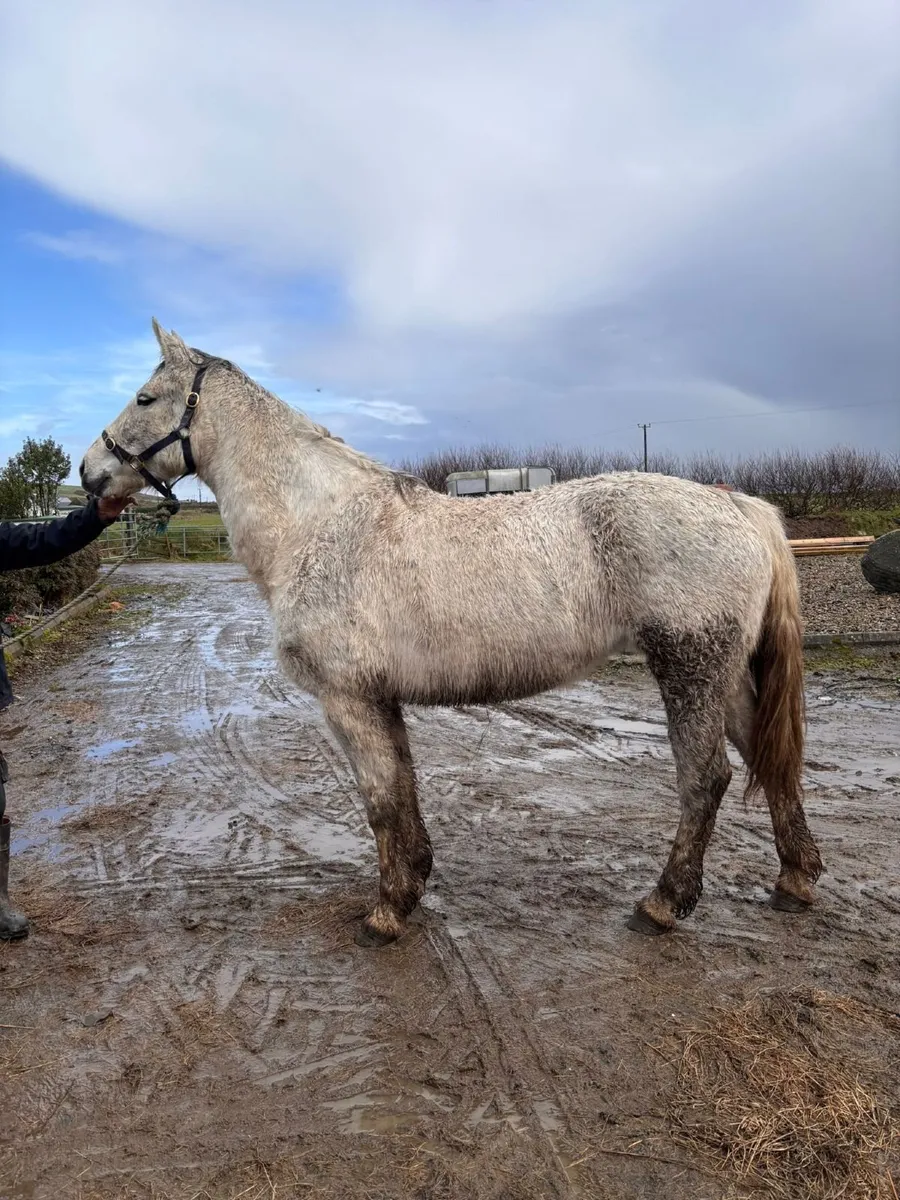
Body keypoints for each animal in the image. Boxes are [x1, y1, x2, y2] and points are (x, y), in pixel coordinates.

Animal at [80, 320, 822, 947]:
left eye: (146, 397)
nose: (90, 473)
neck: (320, 524)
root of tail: (739, 506)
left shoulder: (347, 700)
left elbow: (380, 801)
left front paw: (385, 914)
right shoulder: (380, 699)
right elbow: (403, 790)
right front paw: (414, 883)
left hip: (688, 670)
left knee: (705, 778)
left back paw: (663, 904)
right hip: (723, 676)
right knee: (767, 757)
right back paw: (795, 880)